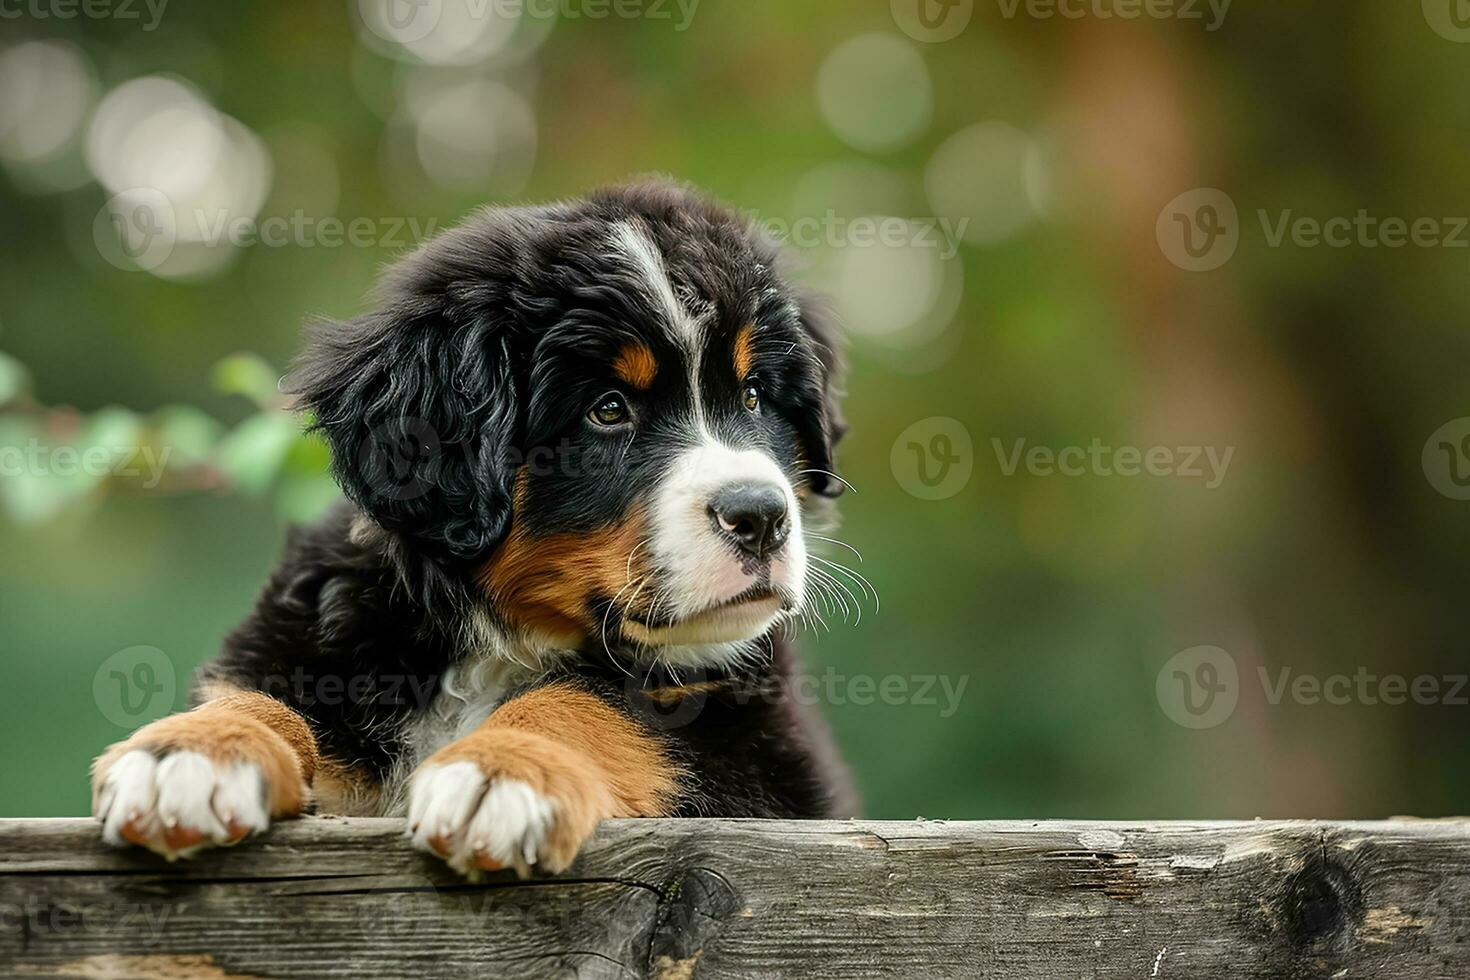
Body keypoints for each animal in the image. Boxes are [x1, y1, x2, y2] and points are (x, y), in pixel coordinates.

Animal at [85, 179, 858, 875]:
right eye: (607, 410)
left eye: (753, 396)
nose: (761, 517)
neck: (498, 640)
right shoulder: (310, 635)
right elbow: (269, 695)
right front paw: (189, 752)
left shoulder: (759, 749)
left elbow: (598, 699)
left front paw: (502, 772)